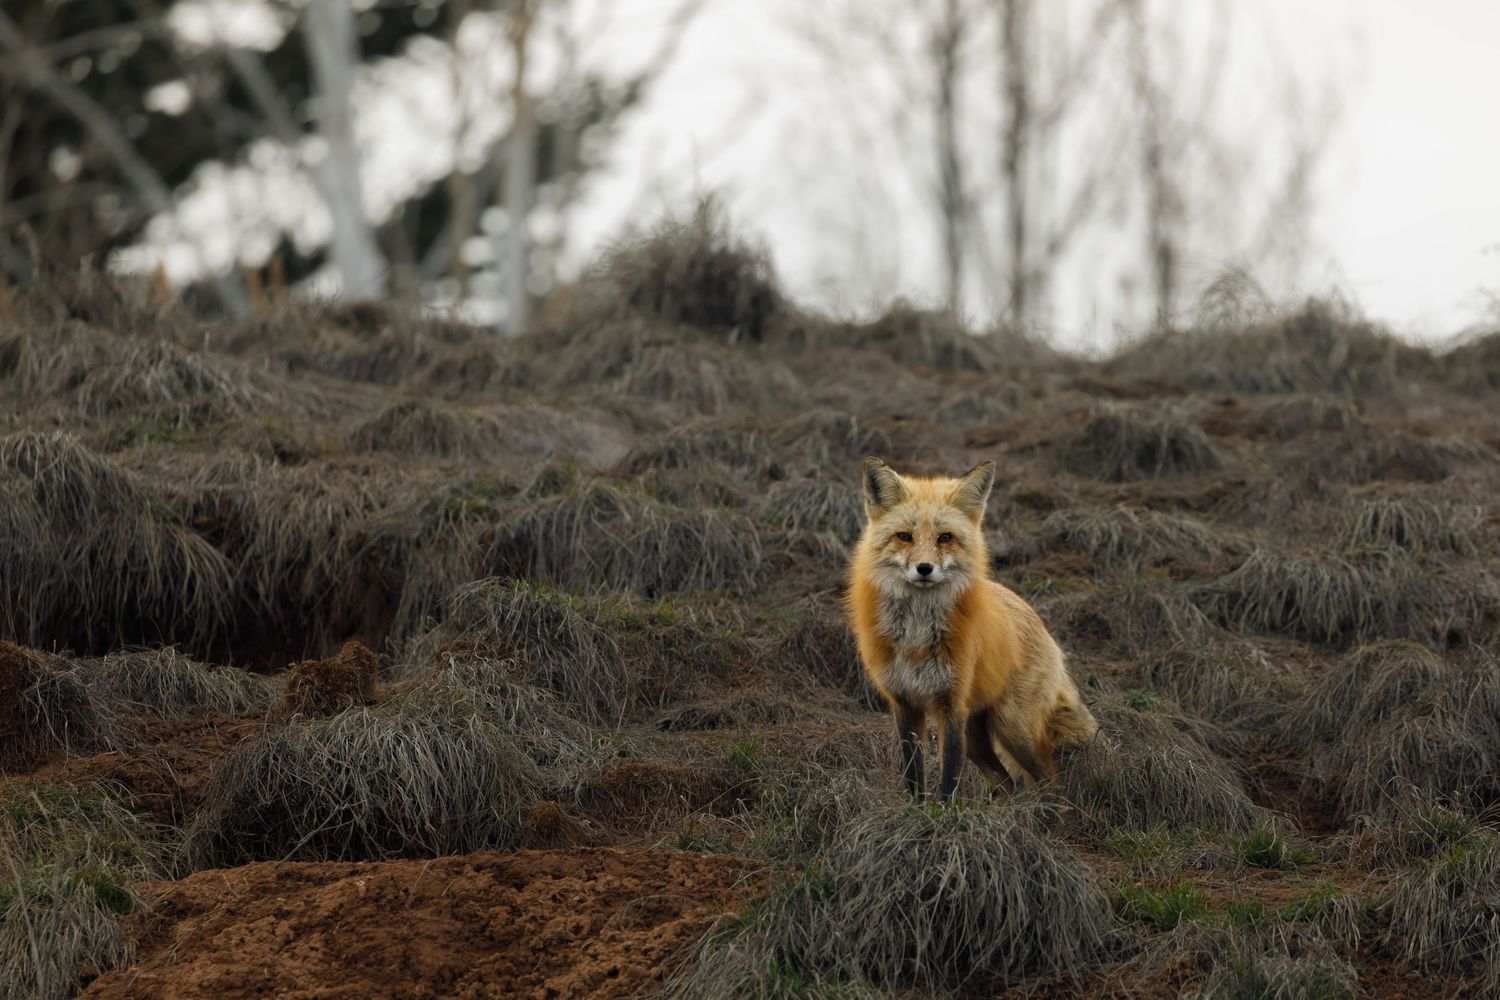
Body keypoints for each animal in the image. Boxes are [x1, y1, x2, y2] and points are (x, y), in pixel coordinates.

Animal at [846, 457, 1098, 801]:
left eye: (945, 538)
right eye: (904, 536)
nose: (924, 569)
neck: (916, 635)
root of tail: (1038, 620)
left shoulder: (952, 704)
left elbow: (949, 779)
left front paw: (942, 813)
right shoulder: (904, 704)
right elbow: (913, 774)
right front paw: (916, 810)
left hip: (1012, 729)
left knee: (1051, 780)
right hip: (978, 738)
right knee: (1007, 782)